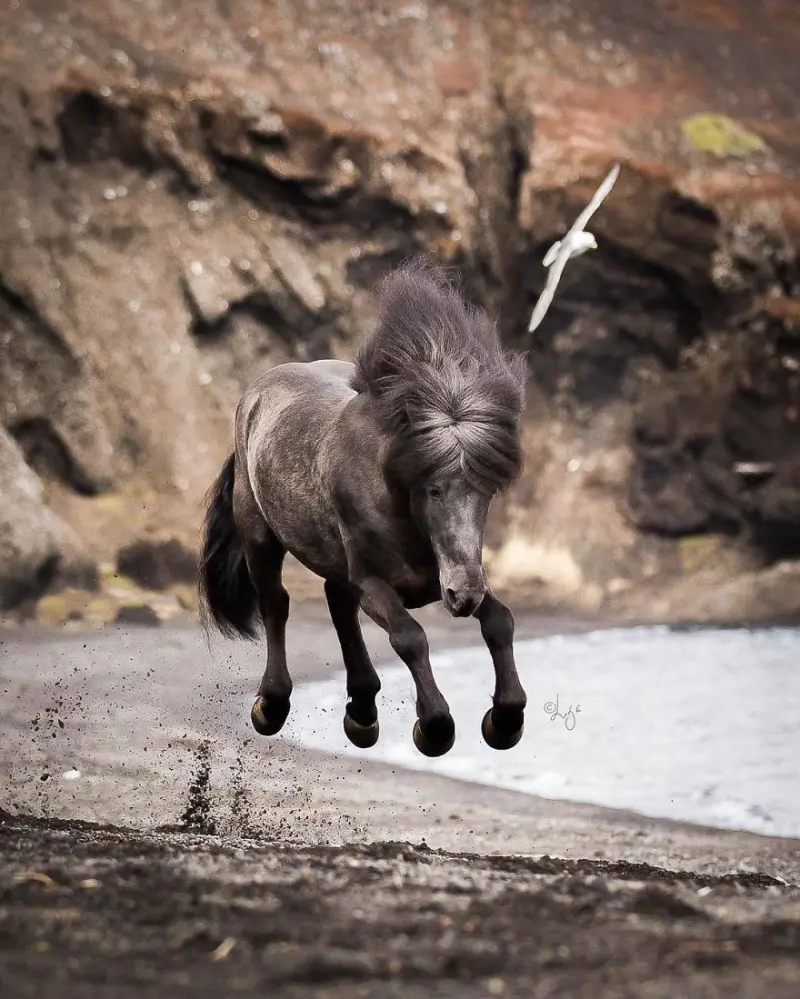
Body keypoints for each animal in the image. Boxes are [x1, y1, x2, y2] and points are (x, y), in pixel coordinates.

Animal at [198, 258, 529, 758]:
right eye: (433, 489)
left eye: (486, 491)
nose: (462, 596)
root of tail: (257, 391)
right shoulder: (375, 581)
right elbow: (410, 637)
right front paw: (435, 727)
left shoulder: (448, 573)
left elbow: (500, 622)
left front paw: (505, 719)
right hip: (259, 535)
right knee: (277, 604)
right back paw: (272, 704)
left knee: (337, 604)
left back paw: (361, 711)